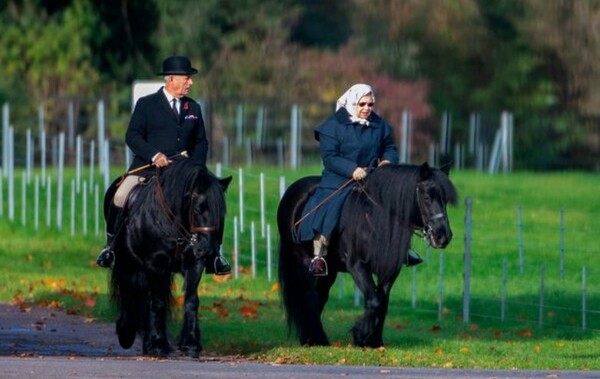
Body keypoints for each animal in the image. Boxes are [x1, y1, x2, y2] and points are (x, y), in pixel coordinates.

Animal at [106, 160, 231, 360]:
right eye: (198, 209)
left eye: (221, 213)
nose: (208, 250)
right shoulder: (154, 264)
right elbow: (158, 303)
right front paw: (159, 345)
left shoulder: (194, 264)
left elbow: (191, 301)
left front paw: (190, 344)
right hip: (128, 263)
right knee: (131, 292)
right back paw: (128, 332)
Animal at [278, 163, 458, 348]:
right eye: (427, 197)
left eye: (445, 199)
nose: (443, 236)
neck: (376, 218)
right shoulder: (357, 266)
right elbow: (374, 300)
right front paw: (361, 335)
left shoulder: (390, 270)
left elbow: (382, 302)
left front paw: (375, 341)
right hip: (302, 261)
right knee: (306, 297)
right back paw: (313, 339)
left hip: (328, 271)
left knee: (319, 296)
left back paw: (316, 338)